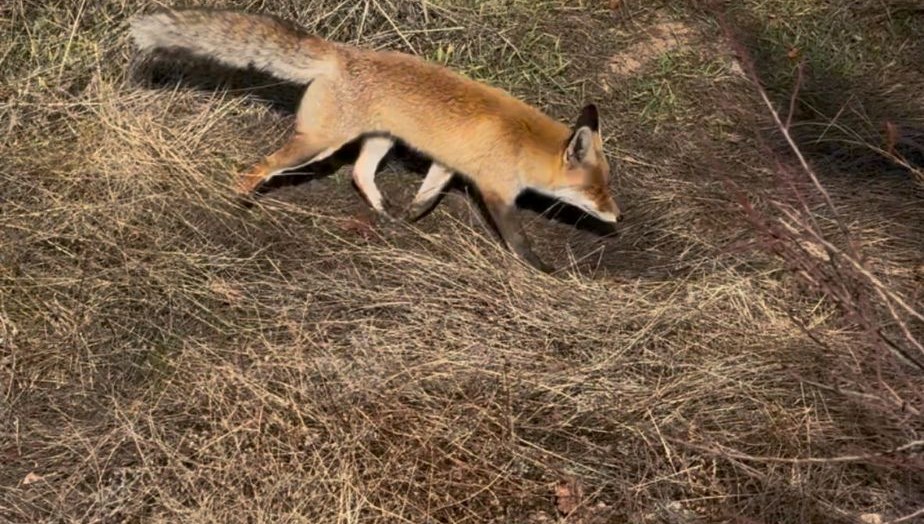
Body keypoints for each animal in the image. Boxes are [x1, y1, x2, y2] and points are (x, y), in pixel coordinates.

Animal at [128, 8, 620, 272]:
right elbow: (517, 237)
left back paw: (383, 212)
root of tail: (344, 52)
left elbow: (429, 192)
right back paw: (241, 198)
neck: (521, 140)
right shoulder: (495, 190)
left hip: (379, 141)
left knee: (360, 175)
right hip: (318, 143)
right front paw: (539, 268)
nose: (617, 216)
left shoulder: (449, 163)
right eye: (594, 190)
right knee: (262, 167)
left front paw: (414, 214)